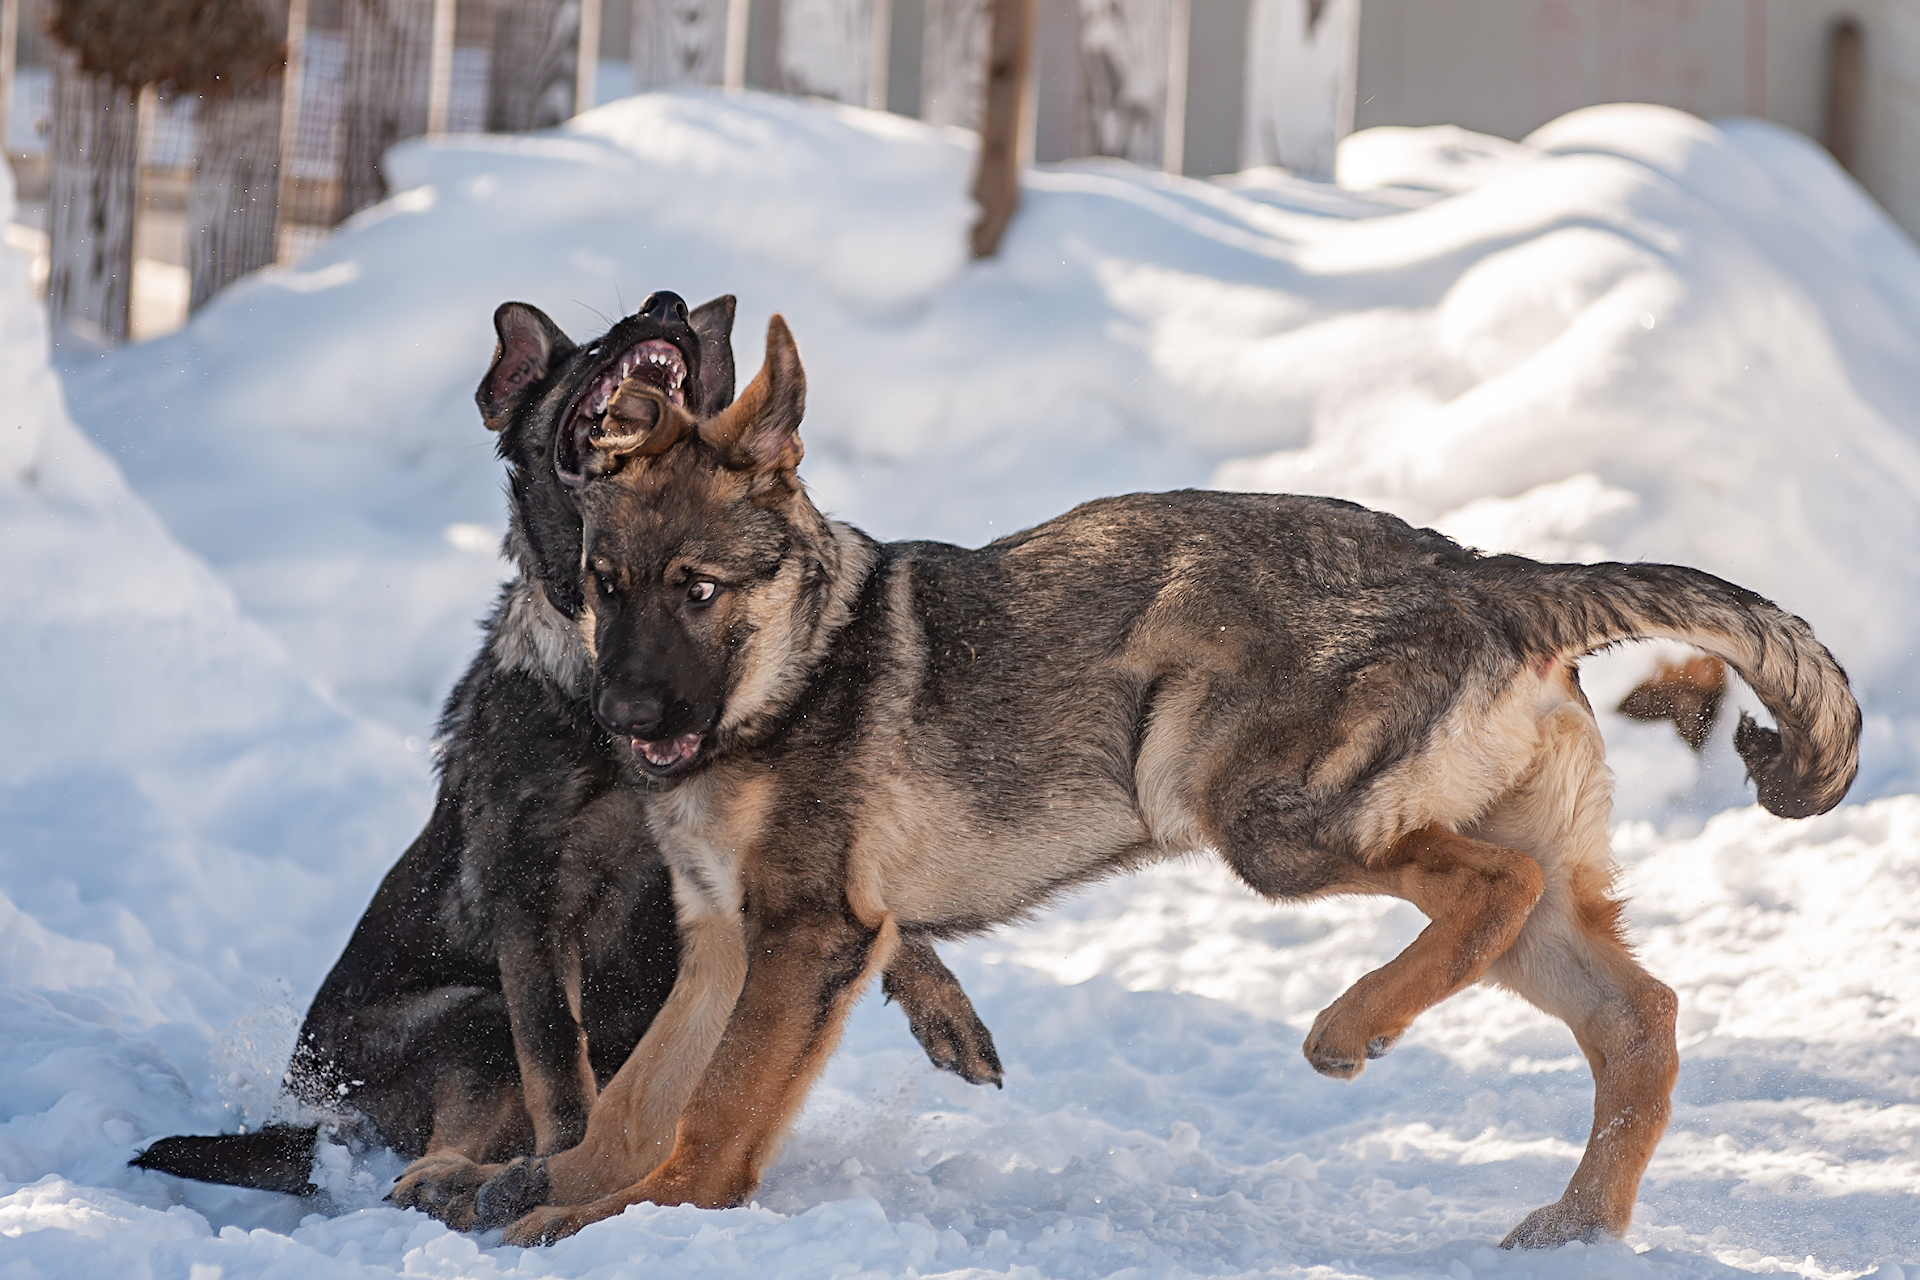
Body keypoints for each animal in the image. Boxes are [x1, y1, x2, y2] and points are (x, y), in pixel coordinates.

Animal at [133, 295, 998, 1205]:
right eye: (587, 350)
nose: (664, 305)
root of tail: (306, 1124)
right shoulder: (532, 897)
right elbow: (556, 1058)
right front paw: (566, 1167)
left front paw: (945, 1006)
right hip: (471, 1015)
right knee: (435, 1143)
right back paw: (449, 1181)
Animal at [401, 312, 1858, 1251]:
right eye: (604, 588)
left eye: (698, 591)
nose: (623, 721)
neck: (789, 671)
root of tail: (1486, 572)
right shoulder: (718, 943)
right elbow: (629, 1098)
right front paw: (550, 1189)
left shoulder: (809, 936)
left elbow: (707, 1119)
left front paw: (627, 1220)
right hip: (1497, 873)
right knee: (1640, 1017)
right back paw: (1582, 1223)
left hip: (1257, 810)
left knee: (1484, 888)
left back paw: (1354, 1028)